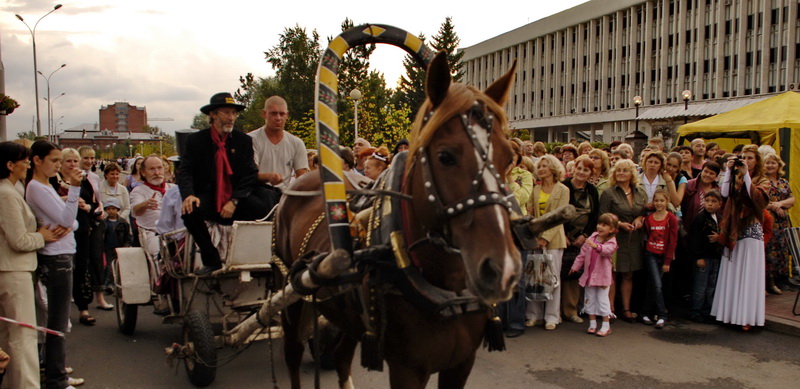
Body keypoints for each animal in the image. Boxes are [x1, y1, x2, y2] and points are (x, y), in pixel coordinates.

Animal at [274, 47, 524, 388]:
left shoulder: (461, 363)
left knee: (340, 357)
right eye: (445, 156)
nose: (502, 270)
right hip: (293, 299)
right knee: (293, 354)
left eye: (509, 158)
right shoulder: (408, 369)